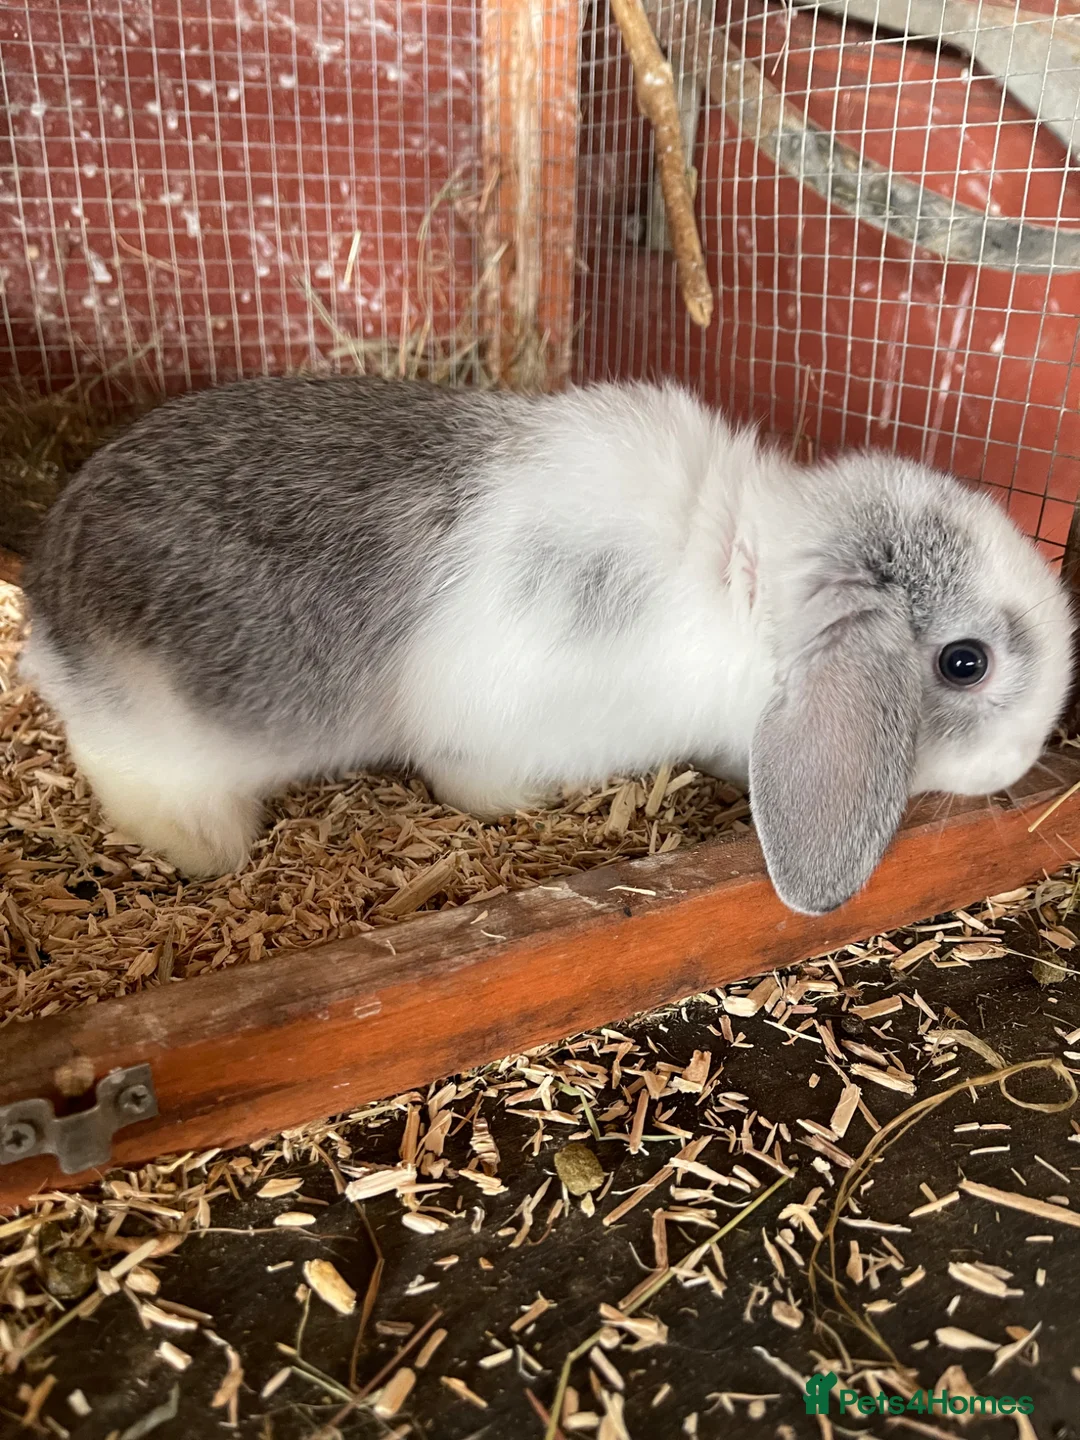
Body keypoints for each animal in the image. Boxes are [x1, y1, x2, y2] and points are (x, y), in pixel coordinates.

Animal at [19, 374, 1074, 915]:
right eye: (965, 662)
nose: (1023, 761)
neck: (749, 579)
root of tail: (47, 611)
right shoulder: (493, 728)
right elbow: (469, 780)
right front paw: (528, 804)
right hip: (158, 733)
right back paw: (204, 843)